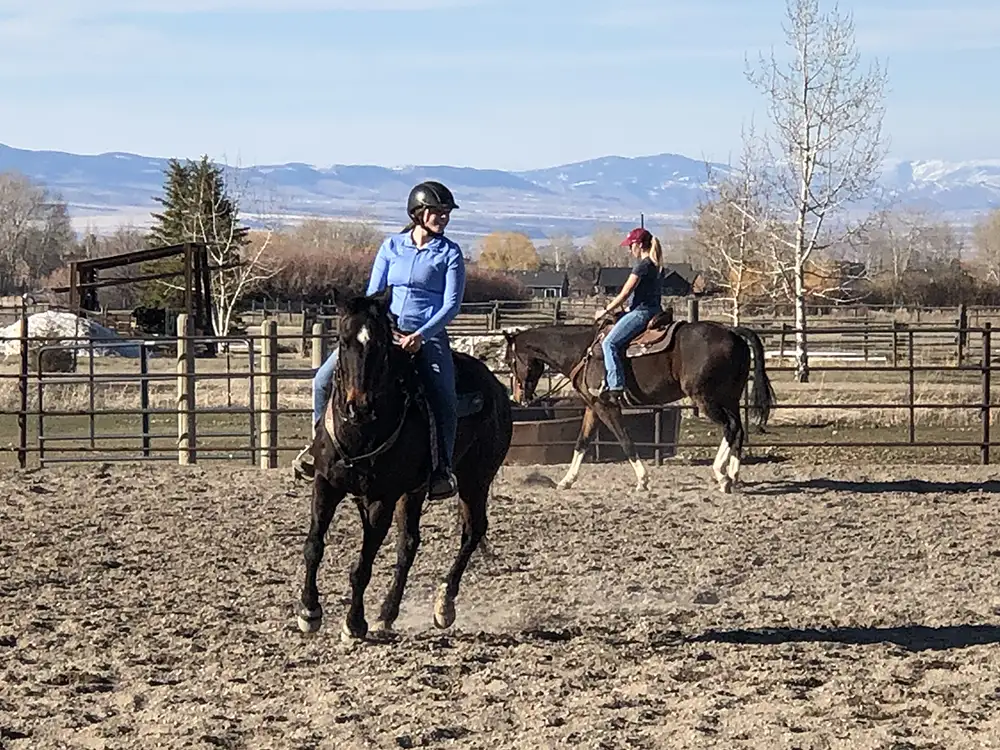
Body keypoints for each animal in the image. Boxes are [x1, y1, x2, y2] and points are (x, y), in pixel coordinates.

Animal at [297, 288, 513, 641]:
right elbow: (314, 546)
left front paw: (354, 623)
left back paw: (443, 605)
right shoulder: (327, 484)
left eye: (382, 344)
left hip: (475, 480)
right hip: (414, 491)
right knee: (409, 544)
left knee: (472, 532)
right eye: (343, 340)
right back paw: (387, 613)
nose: (359, 406)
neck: (362, 432)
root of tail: (496, 388)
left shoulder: (382, 499)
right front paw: (309, 611)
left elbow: (363, 565)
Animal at [503, 312, 775, 493]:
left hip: (706, 398)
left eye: (510, 361)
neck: (583, 352)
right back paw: (733, 475)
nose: (519, 398)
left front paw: (643, 479)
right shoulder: (593, 406)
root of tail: (733, 332)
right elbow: (582, 442)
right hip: (729, 398)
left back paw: (721, 474)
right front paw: (567, 480)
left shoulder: (607, 406)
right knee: (738, 430)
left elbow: (625, 440)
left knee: (730, 427)